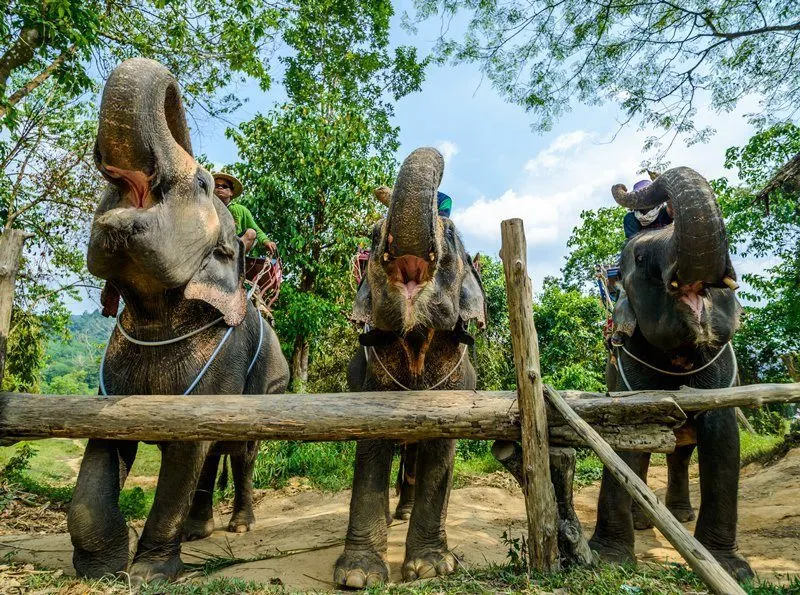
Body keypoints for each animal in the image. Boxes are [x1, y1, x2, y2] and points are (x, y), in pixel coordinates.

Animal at [67, 58, 289, 584]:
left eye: (204, 183)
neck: (157, 314)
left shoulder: (222, 359)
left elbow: (188, 449)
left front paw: (150, 573)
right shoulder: (112, 376)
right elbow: (105, 446)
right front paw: (99, 568)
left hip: (270, 384)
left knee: (241, 452)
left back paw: (240, 525)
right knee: (213, 456)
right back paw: (196, 531)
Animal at [334, 147, 486, 588]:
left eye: (450, 238)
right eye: (372, 237)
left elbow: (440, 451)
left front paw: (431, 568)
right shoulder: (372, 380)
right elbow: (371, 446)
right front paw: (357, 577)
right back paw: (393, 516)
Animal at [588, 167, 754, 581]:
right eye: (641, 257)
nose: (623, 185)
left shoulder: (723, 373)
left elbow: (723, 439)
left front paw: (731, 569)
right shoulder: (627, 369)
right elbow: (623, 441)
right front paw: (609, 559)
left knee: (681, 452)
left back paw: (679, 516)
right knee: (650, 449)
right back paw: (645, 520)